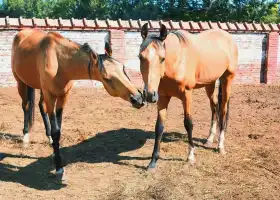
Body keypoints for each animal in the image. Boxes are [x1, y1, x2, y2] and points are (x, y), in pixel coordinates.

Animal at [11, 28, 144, 180]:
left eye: (123, 68)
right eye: (106, 78)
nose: (138, 98)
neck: (59, 61)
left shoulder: (63, 96)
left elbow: (58, 128)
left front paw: (55, 149)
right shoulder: (51, 96)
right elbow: (56, 131)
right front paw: (59, 168)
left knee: (40, 106)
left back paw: (48, 138)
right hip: (21, 83)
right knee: (26, 106)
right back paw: (26, 138)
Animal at [139, 22, 237, 169]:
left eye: (162, 58)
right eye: (140, 57)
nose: (150, 95)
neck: (176, 62)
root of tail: (228, 37)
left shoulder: (187, 95)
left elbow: (188, 123)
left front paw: (190, 156)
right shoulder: (162, 97)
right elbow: (159, 127)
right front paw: (153, 162)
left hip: (227, 79)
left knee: (223, 109)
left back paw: (220, 146)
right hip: (210, 83)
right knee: (214, 106)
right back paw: (209, 139)